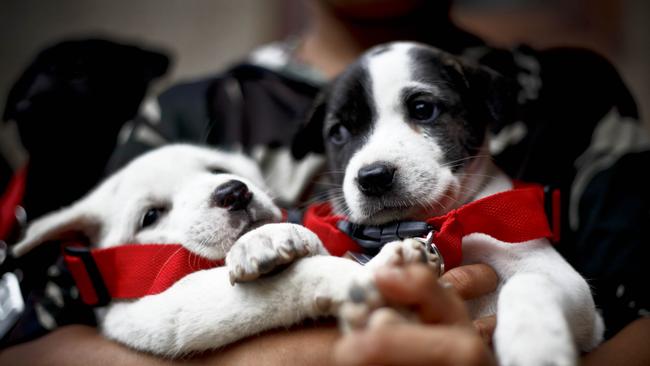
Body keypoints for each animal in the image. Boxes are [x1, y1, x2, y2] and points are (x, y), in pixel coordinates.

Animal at [294, 43, 604, 366]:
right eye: (338, 132)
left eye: (422, 109)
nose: (373, 177)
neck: (439, 226)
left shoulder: (581, 303)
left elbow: (528, 282)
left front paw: (535, 349)